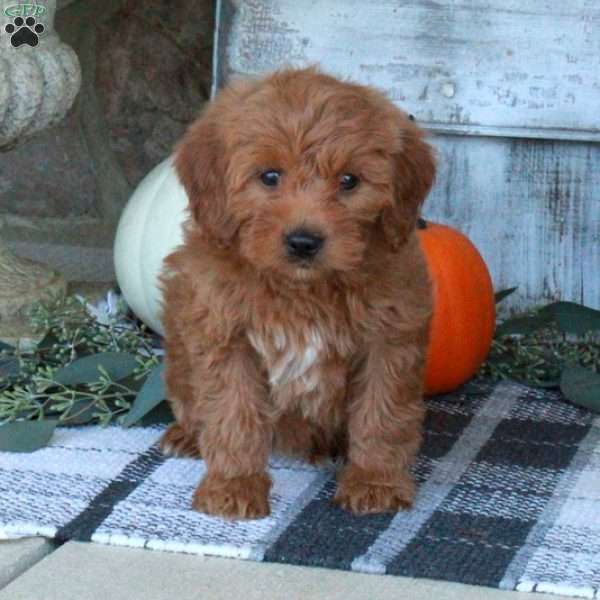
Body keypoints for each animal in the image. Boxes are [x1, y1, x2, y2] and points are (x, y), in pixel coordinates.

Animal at [157, 67, 434, 520]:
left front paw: (375, 481)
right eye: (270, 176)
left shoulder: (390, 335)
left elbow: (382, 412)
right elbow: (233, 413)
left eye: (349, 181)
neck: (303, 290)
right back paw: (187, 435)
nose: (304, 241)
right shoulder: (226, 337)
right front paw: (234, 486)